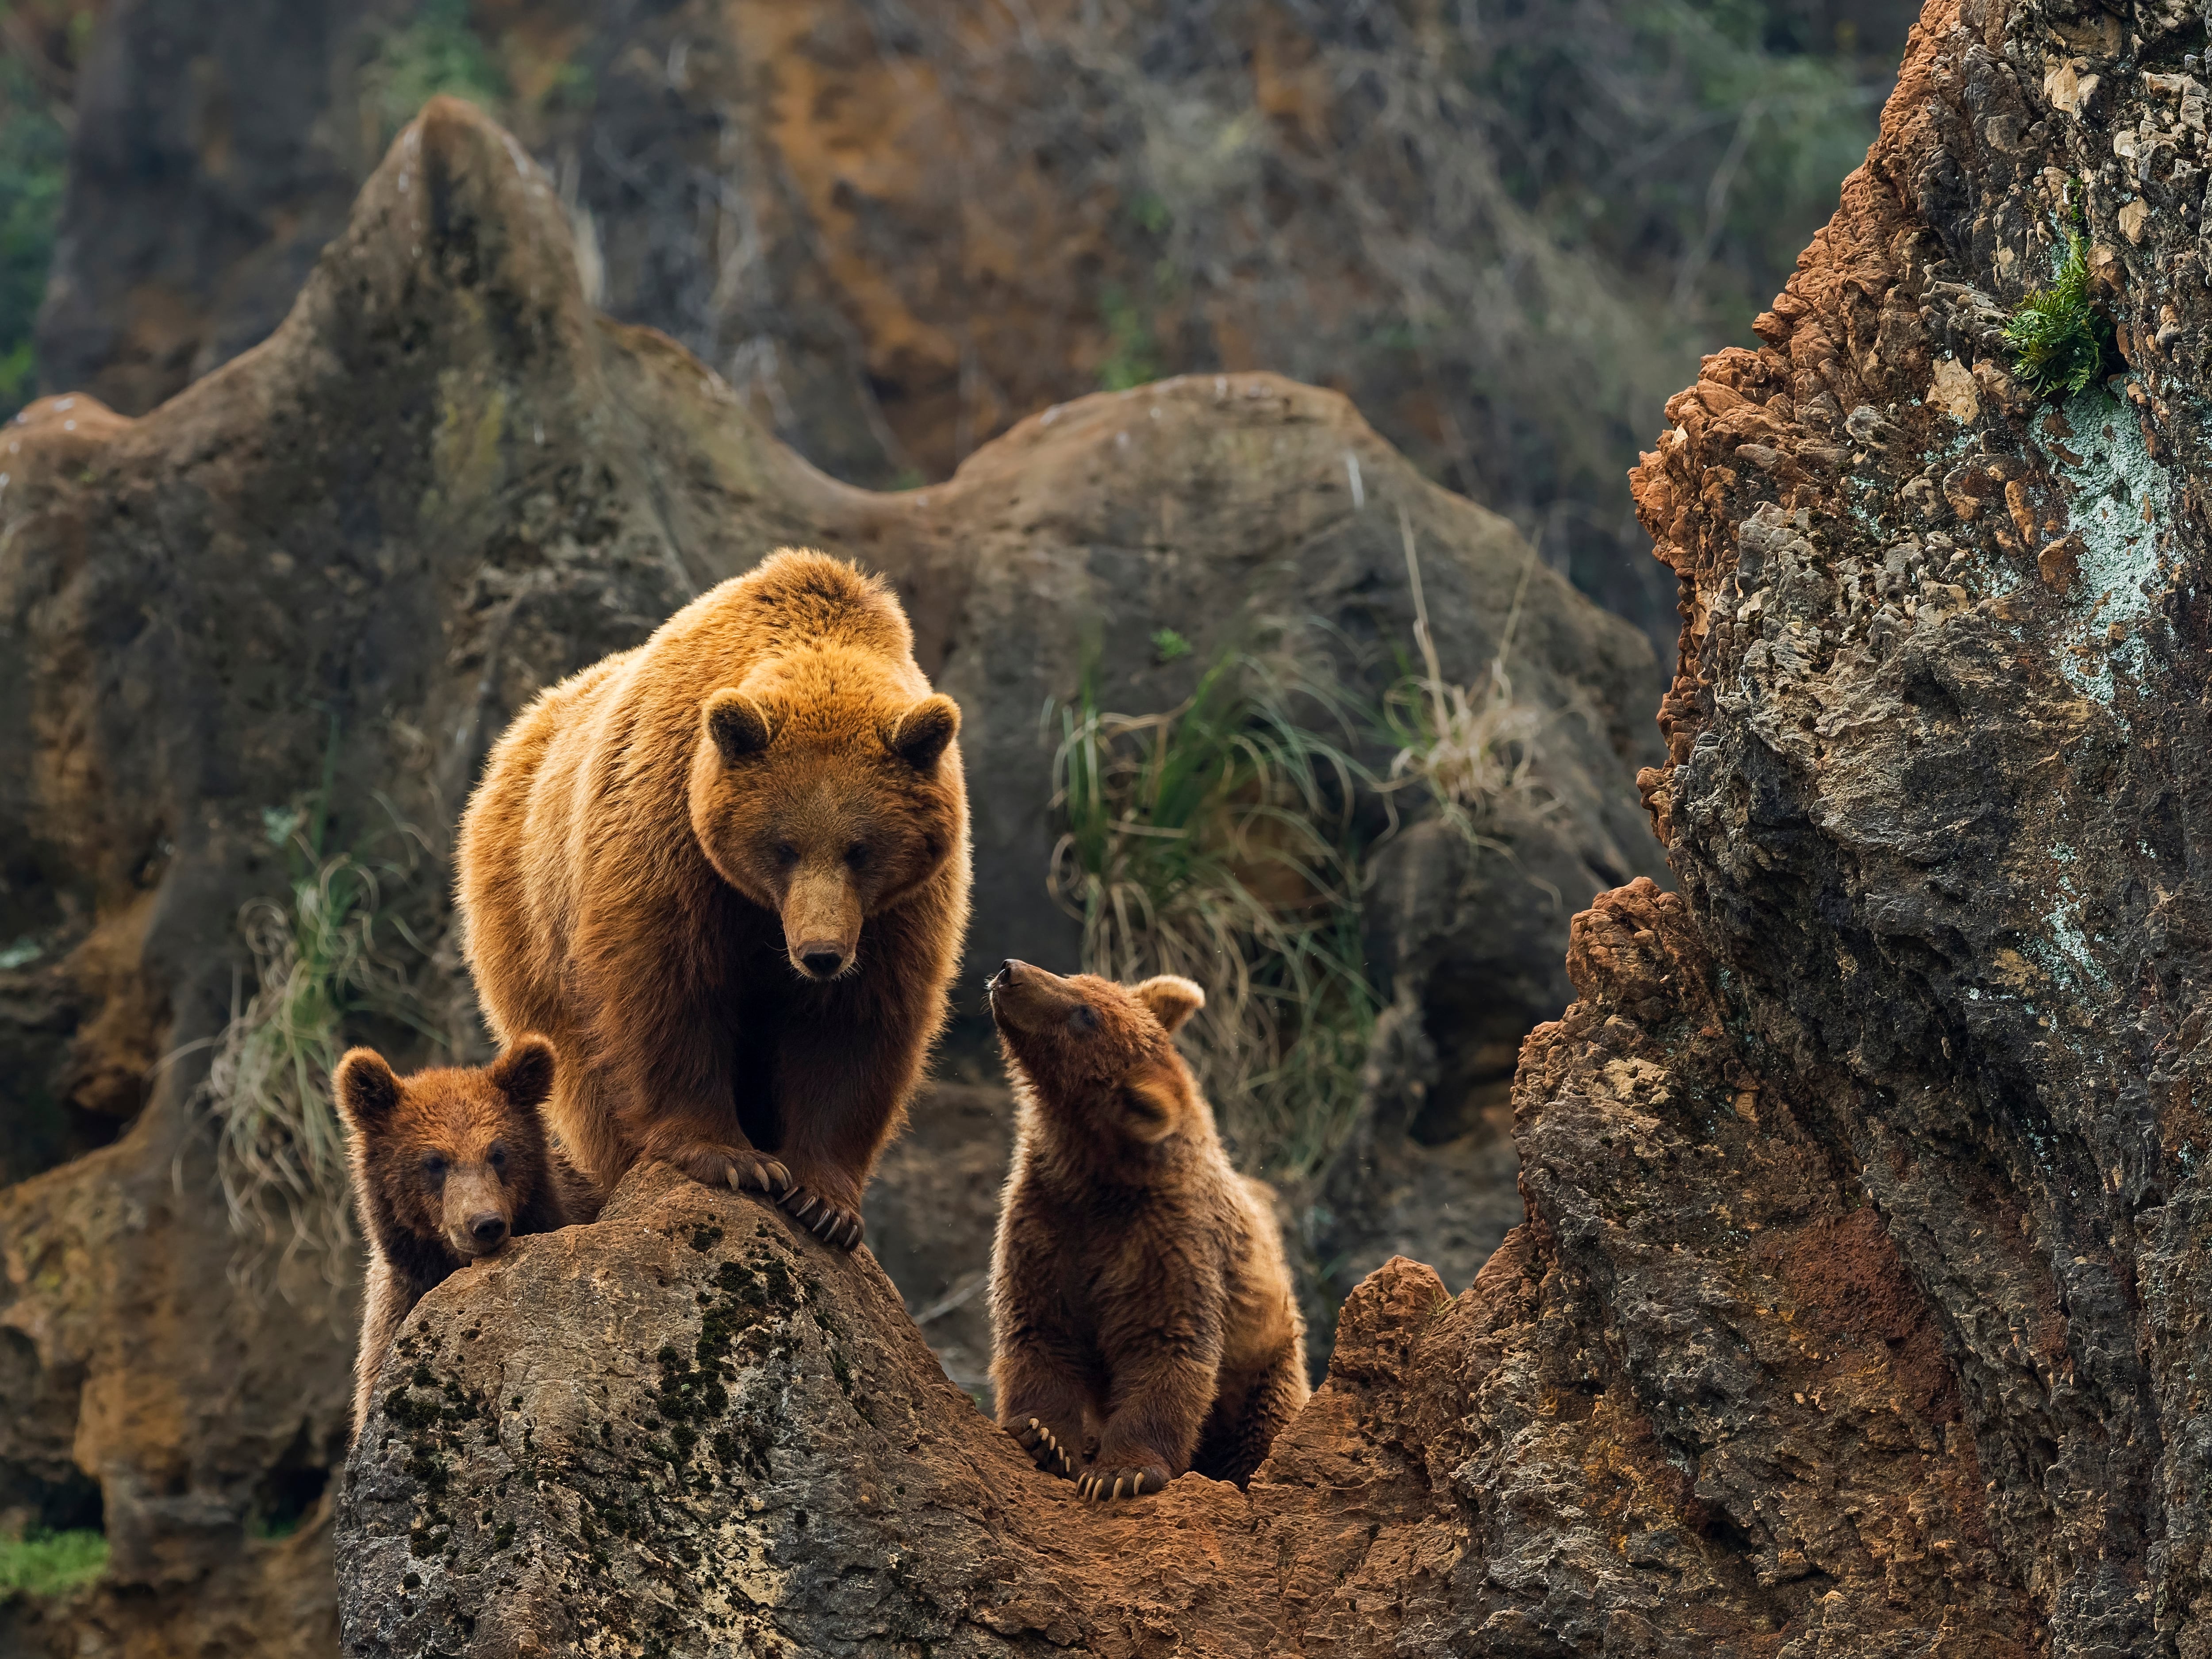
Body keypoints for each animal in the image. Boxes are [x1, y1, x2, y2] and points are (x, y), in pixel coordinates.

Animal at [453, 553, 964, 1256]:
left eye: (861, 849)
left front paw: (824, 1200)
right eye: (783, 846)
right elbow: (669, 989)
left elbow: (854, 1026)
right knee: (582, 1070)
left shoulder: (897, 912)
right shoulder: (669, 841)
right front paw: (734, 1158)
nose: (820, 954)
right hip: (530, 924)